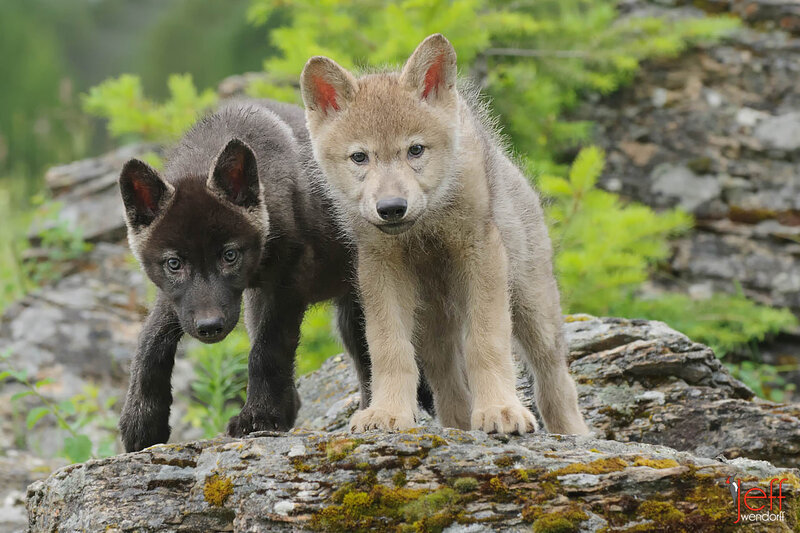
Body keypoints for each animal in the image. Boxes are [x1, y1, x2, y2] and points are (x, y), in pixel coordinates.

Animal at [117, 99, 431, 452]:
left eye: (229, 255)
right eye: (174, 263)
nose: (210, 327)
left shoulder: (288, 280)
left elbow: (266, 350)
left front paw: (260, 416)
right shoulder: (180, 299)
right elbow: (150, 342)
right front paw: (142, 422)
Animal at [300, 34, 589, 435]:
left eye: (415, 150)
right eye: (359, 157)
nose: (392, 207)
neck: (426, 226)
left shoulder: (481, 254)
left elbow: (486, 342)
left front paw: (500, 409)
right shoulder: (380, 266)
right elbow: (388, 349)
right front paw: (387, 412)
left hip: (533, 306)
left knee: (554, 378)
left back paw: (571, 433)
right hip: (433, 325)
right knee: (448, 382)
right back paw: (459, 427)